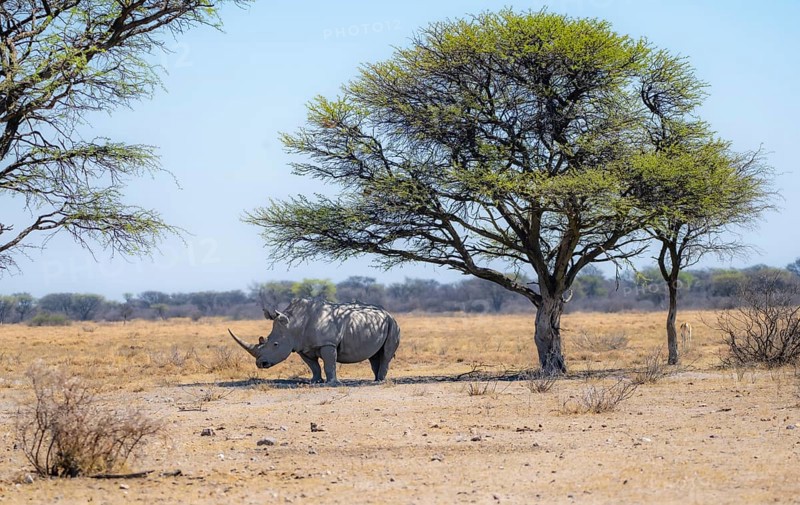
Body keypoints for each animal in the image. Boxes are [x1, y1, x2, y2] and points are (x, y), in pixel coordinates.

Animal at [228, 298, 400, 384]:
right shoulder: (301, 347)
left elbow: (329, 364)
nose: (260, 364)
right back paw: (377, 379)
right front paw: (315, 381)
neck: (293, 324)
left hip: (393, 324)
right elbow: (313, 366)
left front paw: (332, 383)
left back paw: (380, 381)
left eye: (275, 344)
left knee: (385, 353)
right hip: (378, 323)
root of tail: (387, 312)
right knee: (374, 355)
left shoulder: (328, 343)